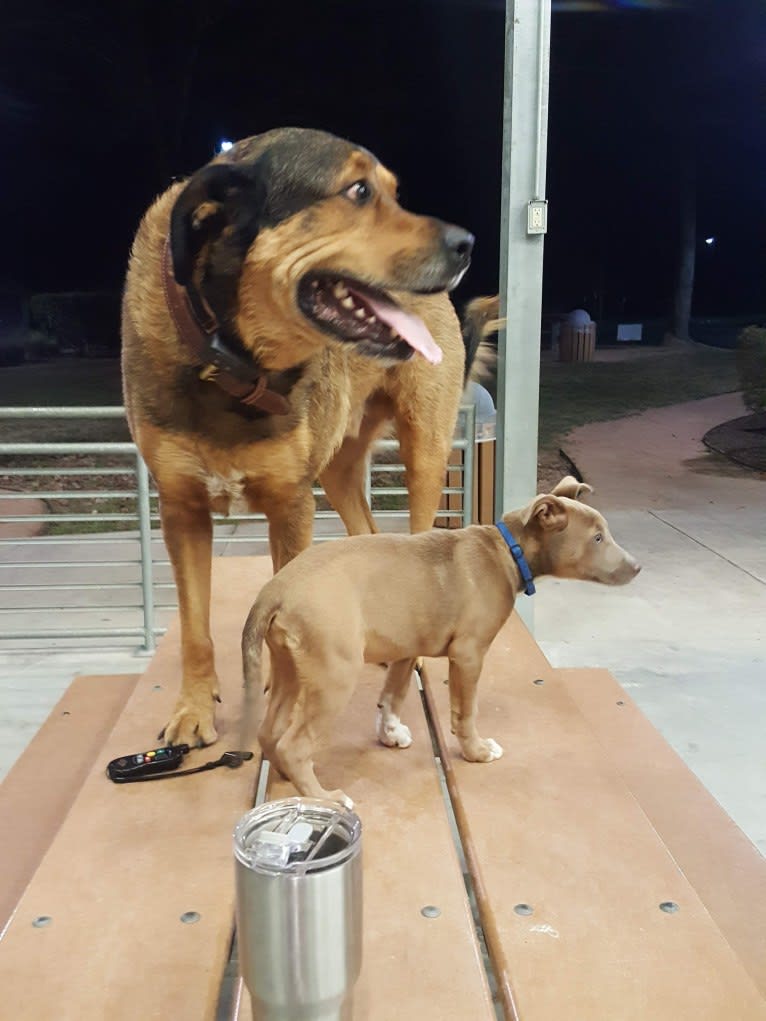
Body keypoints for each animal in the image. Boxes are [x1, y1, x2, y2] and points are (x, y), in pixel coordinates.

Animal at [120, 127, 480, 751]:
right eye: (358, 190)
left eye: (393, 192)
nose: (469, 244)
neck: (229, 359)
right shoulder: (182, 508)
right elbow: (193, 626)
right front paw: (194, 709)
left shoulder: (290, 505)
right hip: (337, 471)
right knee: (366, 534)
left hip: (426, 453)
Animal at [243, 477, 637, 804]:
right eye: (597, 538)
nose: (637, 567)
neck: (507, 549)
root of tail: (275, 589)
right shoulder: (468, 654)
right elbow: (466, 712)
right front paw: (477, 751)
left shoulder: (406, 648)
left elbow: (392, 696)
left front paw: (390, 734)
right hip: (334, 676)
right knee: (294, 744)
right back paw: (323, 797)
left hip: (289, 669)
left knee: (269, 732)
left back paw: (289, 775)